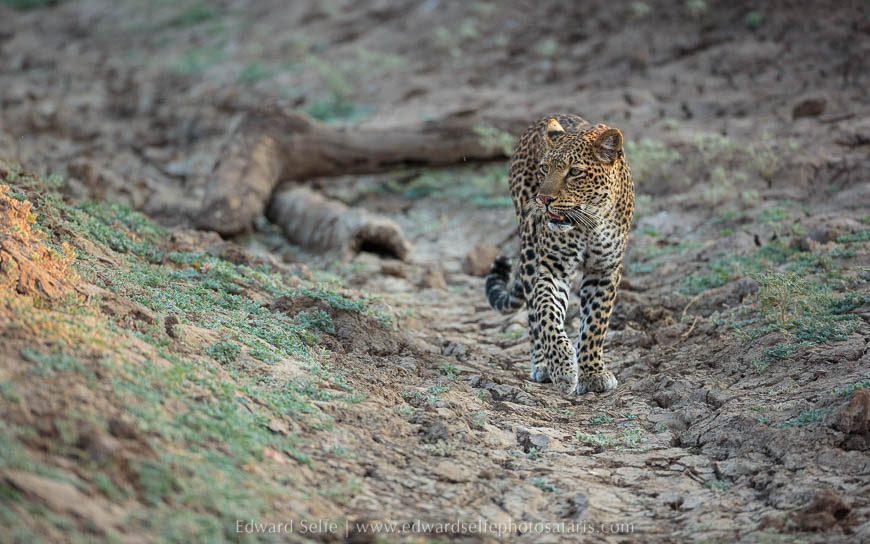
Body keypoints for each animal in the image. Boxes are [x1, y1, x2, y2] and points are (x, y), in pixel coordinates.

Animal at [485, 114, 634, 395]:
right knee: (533, 315)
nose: (544, 199)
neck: (591, 223)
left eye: (574, 172)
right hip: (529, 250)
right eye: (545, 168)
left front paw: (593, 373)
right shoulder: (553, 268)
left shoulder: (604, 270)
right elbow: (547, 314)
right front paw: (563, 367)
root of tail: (543, 119)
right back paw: (541, 364)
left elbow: (595, 322)